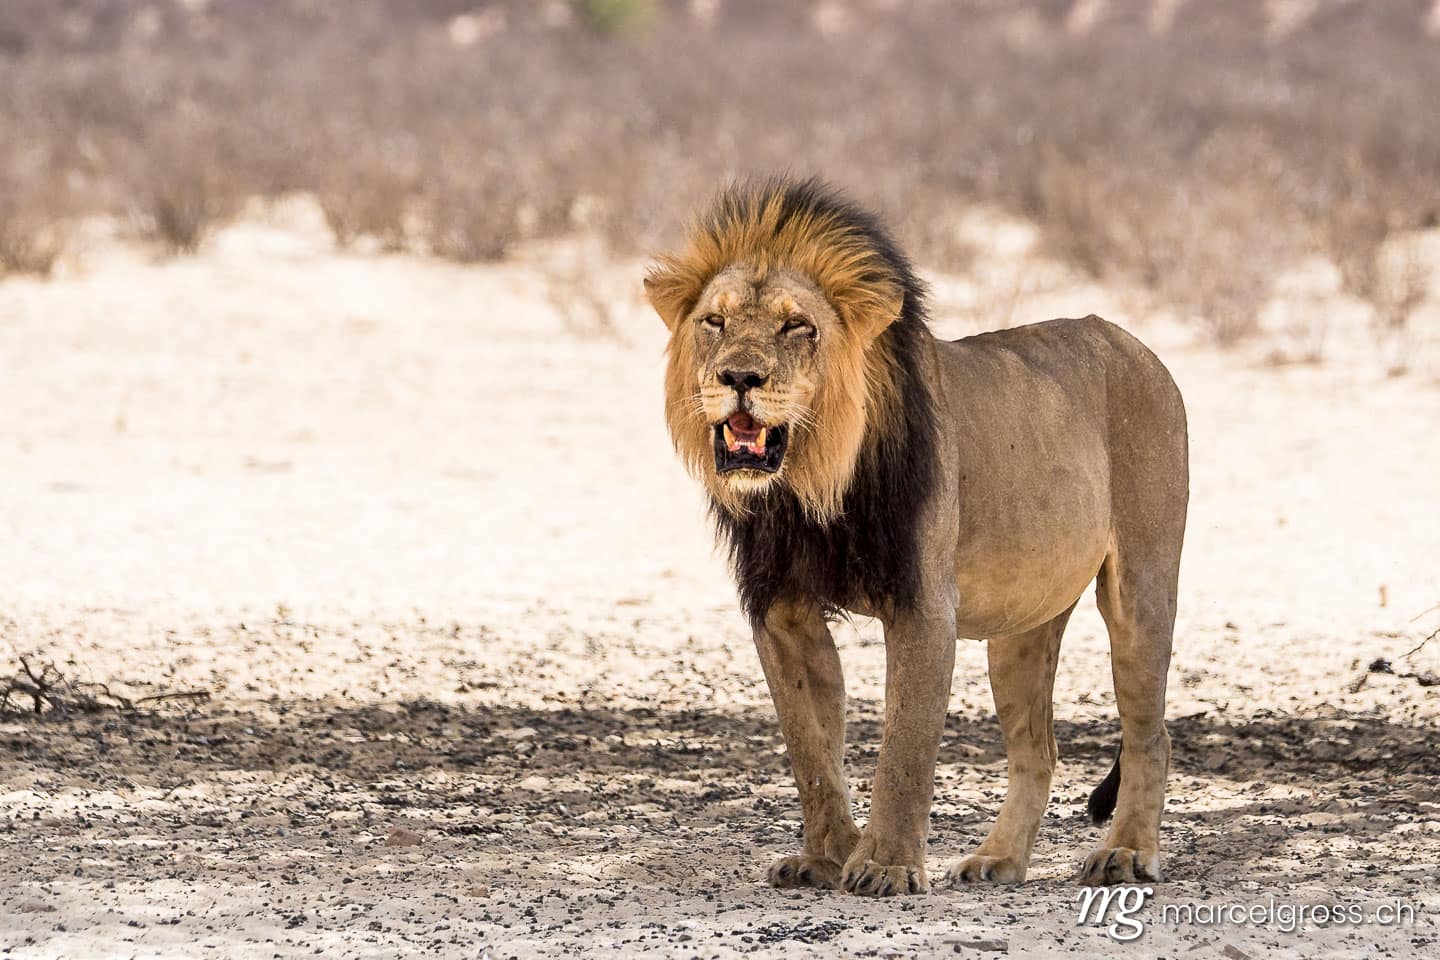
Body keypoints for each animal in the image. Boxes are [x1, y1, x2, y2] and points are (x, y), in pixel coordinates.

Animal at [645, 178, 1188, 896]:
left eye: (797, 326)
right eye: (715, 322)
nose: (739, 378)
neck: (811, 487)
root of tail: (1137, 346)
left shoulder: (924, 604)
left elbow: (904, 747)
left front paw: (885, 864)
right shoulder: (780, 610)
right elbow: (810, 747)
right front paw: (826, 856)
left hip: (1141, 588)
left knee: (1150, 734)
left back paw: (1124, 851)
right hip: (1021, 630)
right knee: (1038, 752)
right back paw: (997, 860)